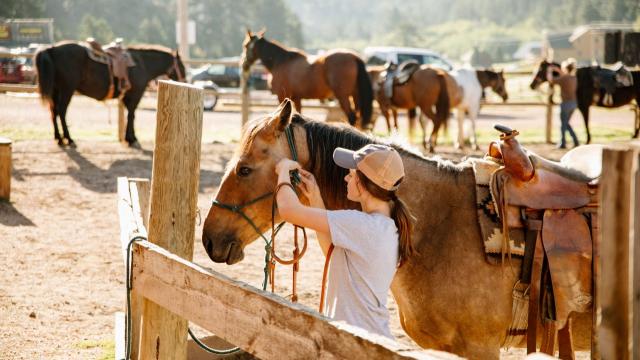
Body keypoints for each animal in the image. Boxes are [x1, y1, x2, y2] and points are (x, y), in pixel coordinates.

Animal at [35, 40, 185, 145]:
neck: (142, 63)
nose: (185, 79)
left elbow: (130, 115)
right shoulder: (137, 93)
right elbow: (132, 114)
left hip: (55, 90)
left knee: (53, 111)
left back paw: (59, 138)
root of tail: (51, 48)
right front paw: (131, 139)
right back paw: (69, 138)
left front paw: (130, 137)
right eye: (182, 65)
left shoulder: (127, 96)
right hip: (67, 89)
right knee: (62, 111)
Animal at [241, 29, 376, 129]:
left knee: (352, 116)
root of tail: (355, 57)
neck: (281, 61)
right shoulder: (296, 98)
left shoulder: (282, 96)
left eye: (245, 45)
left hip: (342, 96)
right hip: (355, 95)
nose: (243, 64)